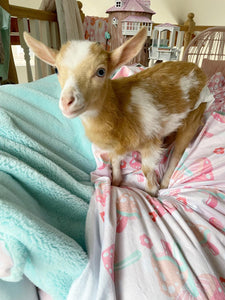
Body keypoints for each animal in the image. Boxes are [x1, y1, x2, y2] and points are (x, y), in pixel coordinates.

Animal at [24, 28, 207, 196]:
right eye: (56, 70)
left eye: (101, 71)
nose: (67, 102)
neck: (119, 109)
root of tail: (196, 68)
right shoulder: (115, 147)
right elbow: (114, 162)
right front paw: (116, 182)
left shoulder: (150, 142)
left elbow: (146, 170)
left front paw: (152, 192)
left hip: (194, 116)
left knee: (178, 152)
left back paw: (165, 183)